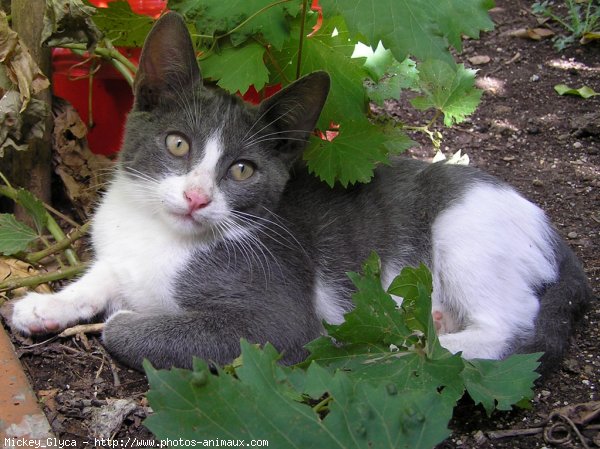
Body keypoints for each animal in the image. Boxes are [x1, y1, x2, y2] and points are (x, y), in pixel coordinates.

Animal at [9, 13, 592, 372]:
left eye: (243, 170)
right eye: (177, 143)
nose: (197, 198)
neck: (160, 234)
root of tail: (561, 246)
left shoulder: (278, 313)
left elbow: (125, 328)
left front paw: (122, 320)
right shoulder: (120, 250)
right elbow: (102, 276)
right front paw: (44, 306)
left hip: (466, 229)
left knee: (510, 327)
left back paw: (407, 340)